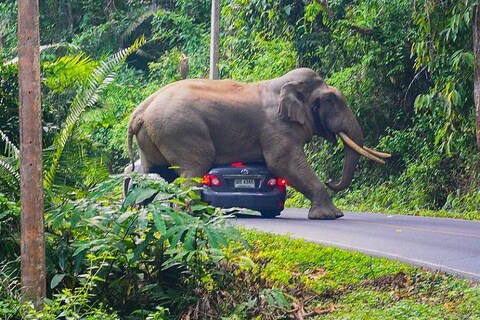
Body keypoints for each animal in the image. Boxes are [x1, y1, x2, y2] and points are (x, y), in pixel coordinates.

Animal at [127, 68, 390, 220]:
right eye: (331, 99)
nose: (331, 180)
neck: (281, 85)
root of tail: (139, 112)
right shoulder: (277, 127)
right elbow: (283, 163)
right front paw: (331, 216)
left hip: (154, 138)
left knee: (156, 174)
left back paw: (146, 212)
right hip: (181, 131)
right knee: (193, 169)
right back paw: (192, 215)